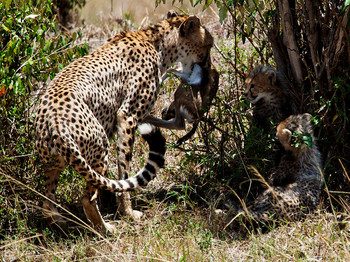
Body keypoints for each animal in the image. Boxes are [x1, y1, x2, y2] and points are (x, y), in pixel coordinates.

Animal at [34, 13, 213, 232]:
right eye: (208, 45)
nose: (208, 67)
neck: (159, 43)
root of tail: (54, 125)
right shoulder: (126, 115)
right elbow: (123, 172)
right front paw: (128, 212)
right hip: (100, 147)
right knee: (87, 198)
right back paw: (106, 229)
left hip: (55, 161)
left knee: (47, 199)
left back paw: (60, 221)